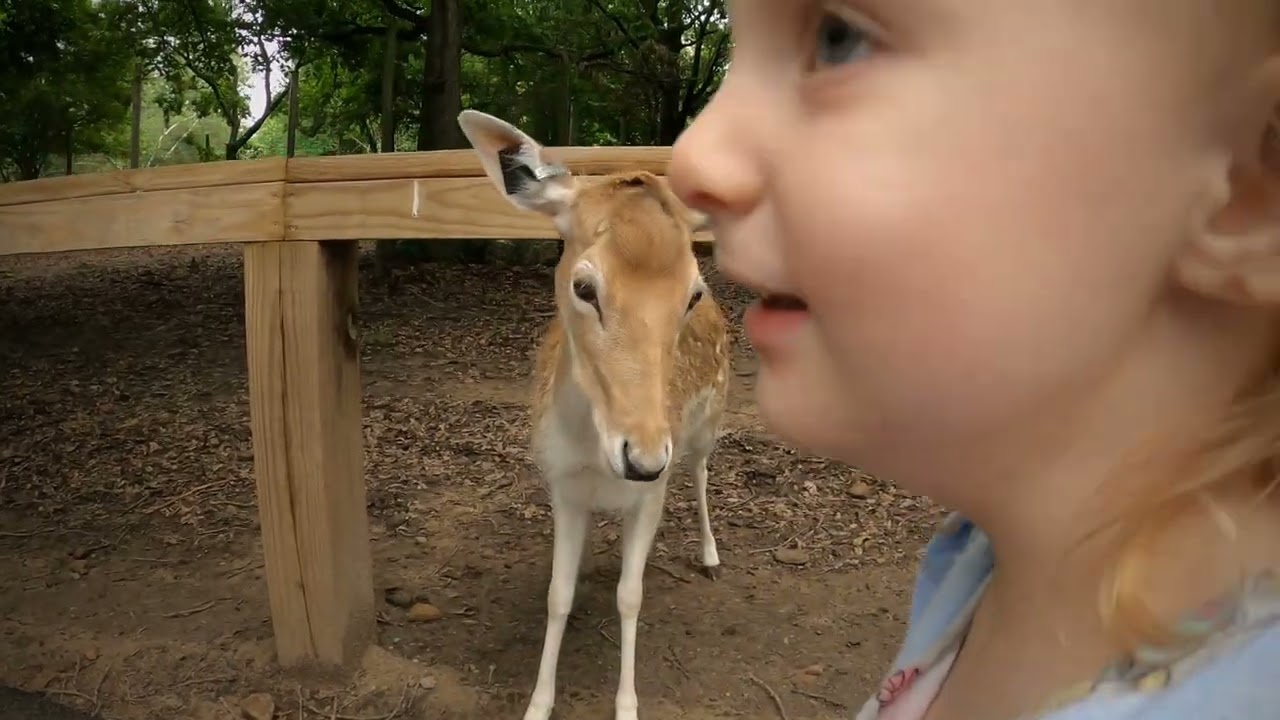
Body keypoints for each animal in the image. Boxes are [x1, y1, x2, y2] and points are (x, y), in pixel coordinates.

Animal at [456, 109, 731, 720]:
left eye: (691, 294)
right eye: (584, 286)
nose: (645, 457)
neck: (595, 451)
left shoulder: (651, 493)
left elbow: (631, 595)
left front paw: (627, 705)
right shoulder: (561, 483)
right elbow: (557, 596)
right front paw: (537, 704)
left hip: (710, 419)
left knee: (702, 471)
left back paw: (709, 554)